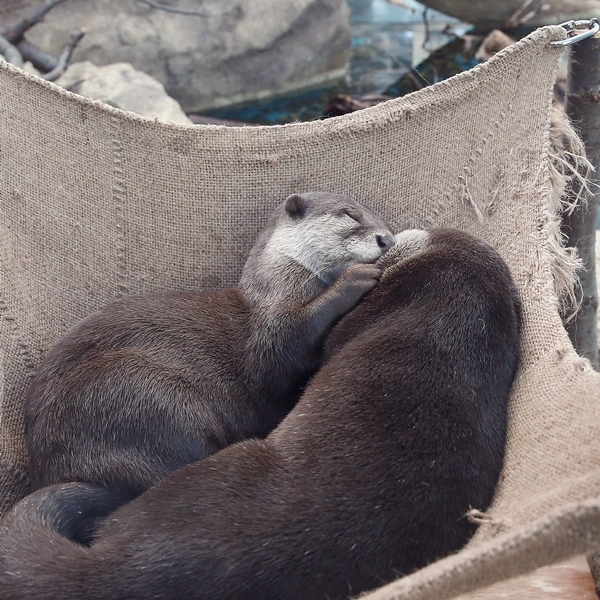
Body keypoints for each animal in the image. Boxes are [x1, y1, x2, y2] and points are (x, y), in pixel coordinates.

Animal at [24, 191, 394, 516]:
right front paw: (355, 278)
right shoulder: (271, 328)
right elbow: (290, 342)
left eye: (384, 220)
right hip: (142, 392)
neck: (279, 285)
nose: (387, 240)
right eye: (349, 214)